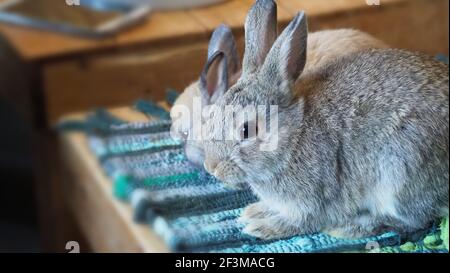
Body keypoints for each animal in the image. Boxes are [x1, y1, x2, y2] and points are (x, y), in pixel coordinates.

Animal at [202, 0, 448, 238]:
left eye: (247, 130)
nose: (211, 167)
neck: (294, 137)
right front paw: (255, 211)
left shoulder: (314, 199)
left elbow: (302, 222)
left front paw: (262, 226)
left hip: (400, 172)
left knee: (411, 221)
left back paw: (350, 227)